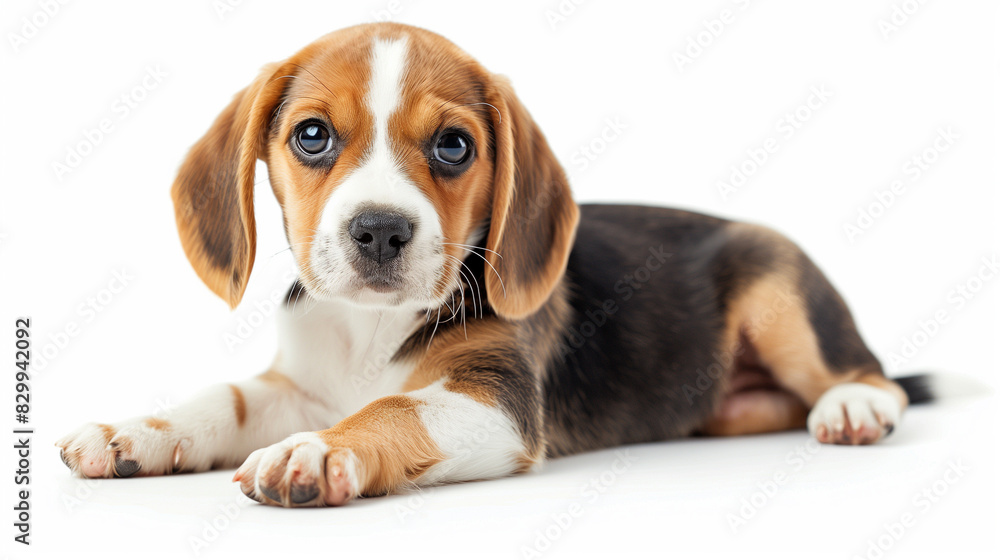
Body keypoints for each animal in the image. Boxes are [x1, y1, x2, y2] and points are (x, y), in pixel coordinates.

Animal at [56, 24, 928, 508]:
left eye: (453, 146)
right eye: (311, 136)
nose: (379, 231)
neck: (367, 329)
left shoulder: (495, 399)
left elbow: (391, 409)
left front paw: (321, 453)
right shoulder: (298, 388)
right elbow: (224, 400)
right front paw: (137, 431)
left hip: (781, 300)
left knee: (872, 376)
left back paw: (854, 409)